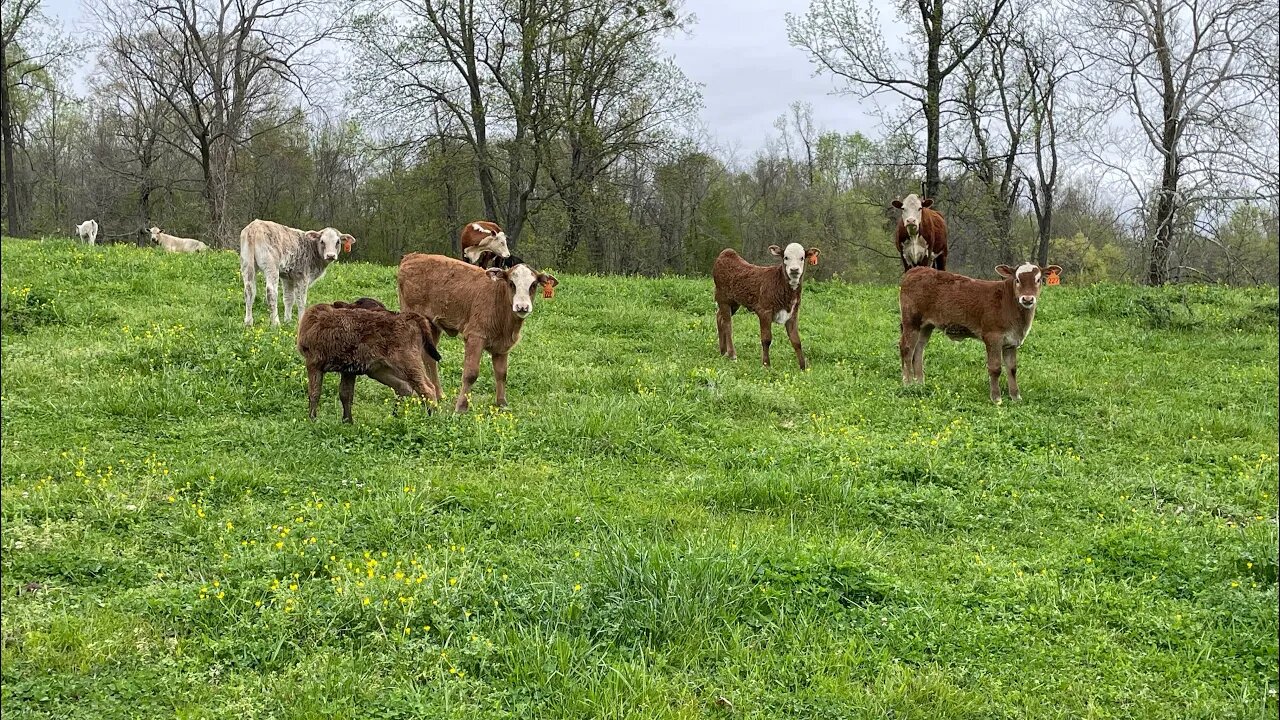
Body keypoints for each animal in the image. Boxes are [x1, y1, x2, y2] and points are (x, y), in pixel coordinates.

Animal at [296, 301, 442, 420]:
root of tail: (409, 317)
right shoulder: (348, 370)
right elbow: (345, 394)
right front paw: (347, 421)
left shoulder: (313, 363)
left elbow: (314, 393)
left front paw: (312, 419)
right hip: (381, 370)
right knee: (405, 387)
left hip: (408, 363)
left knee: (427, 388)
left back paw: (432, 418)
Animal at [396, 252, 558, 409]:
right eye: (511, 283)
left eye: (534, 284)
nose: (522, 307)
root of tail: (412, 256)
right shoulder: (475, 337)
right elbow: (471, 373)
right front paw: (461, 407)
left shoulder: (502, 346)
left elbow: (501, 373)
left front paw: (502, 403)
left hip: (432, 325)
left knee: (429, 357)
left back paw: (439, 394)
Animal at [896, 262, 1064, 399]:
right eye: (1017, 280)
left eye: (1038, 280)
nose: (1027, 299)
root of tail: (915, 270)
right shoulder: (992, 337)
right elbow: (995, 368)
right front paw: (996, 398)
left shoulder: (1011, 341)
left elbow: (1012, 368)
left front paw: (1016, 396)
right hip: (911, 321)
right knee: (907, 348)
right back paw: (908, 383)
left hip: (926, 326)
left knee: (918, 350)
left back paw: (920, 384)